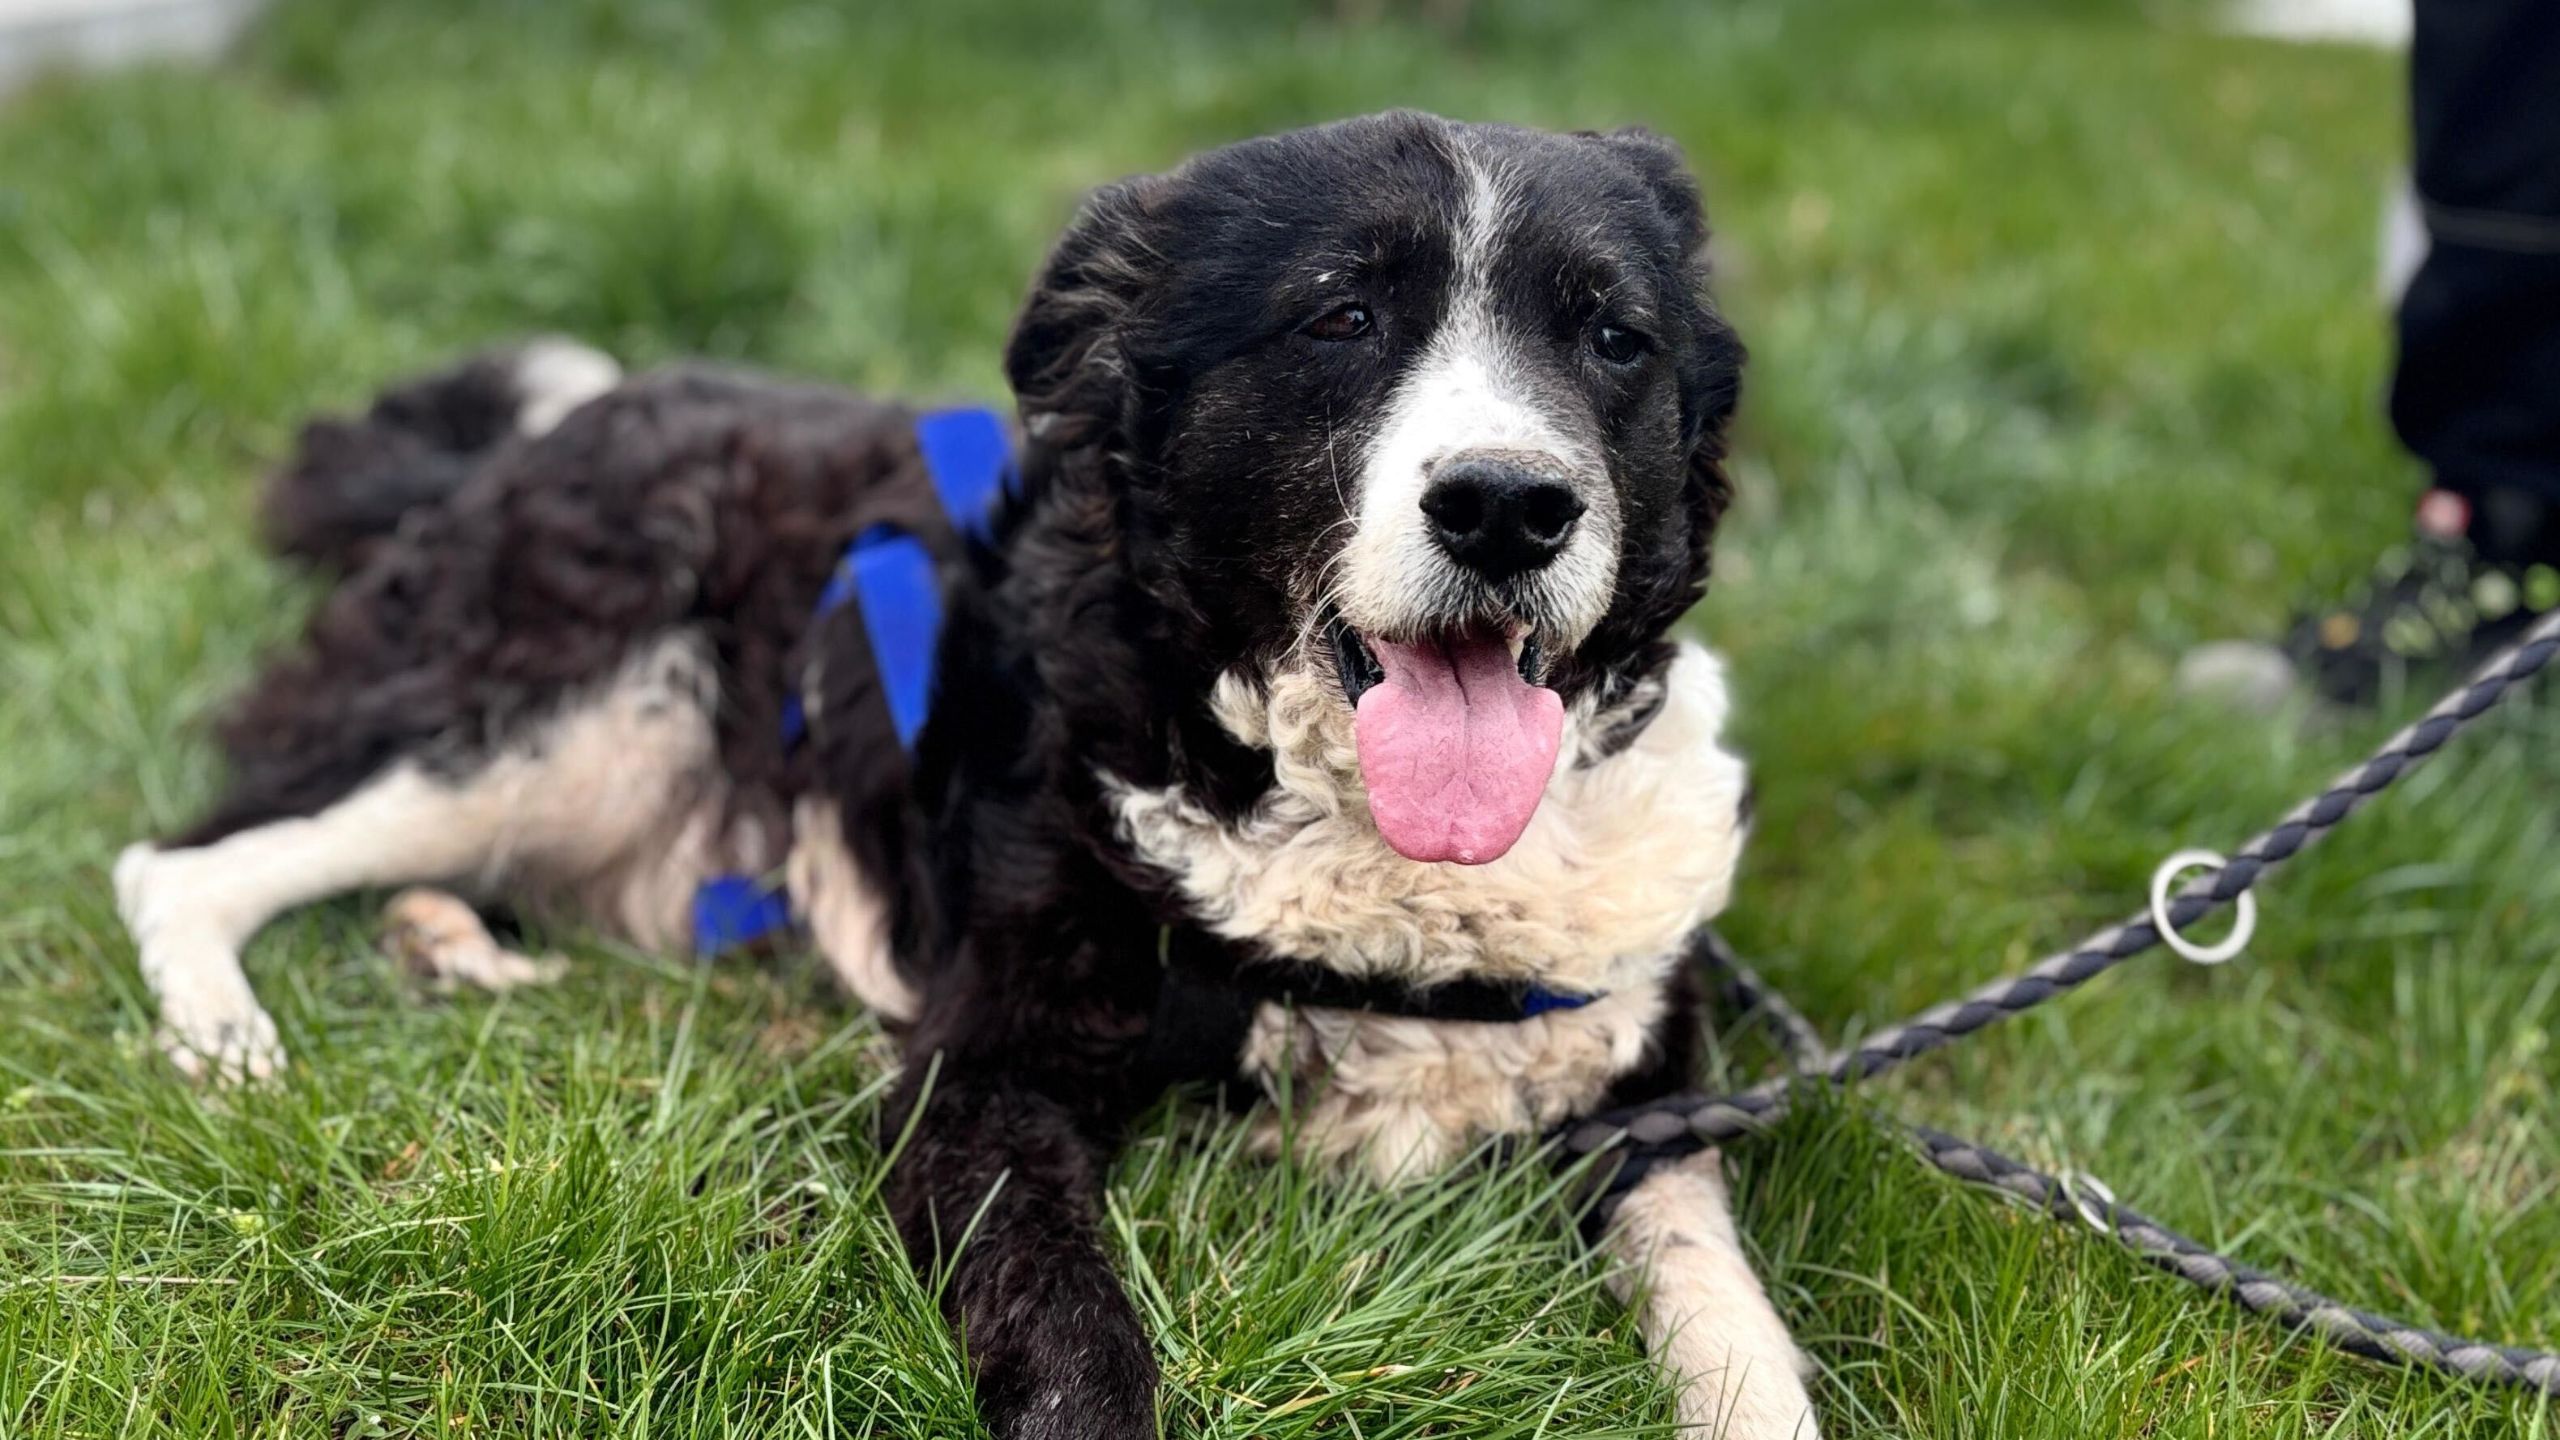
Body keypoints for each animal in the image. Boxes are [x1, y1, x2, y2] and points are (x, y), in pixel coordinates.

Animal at [114, 111, 1817, 1438]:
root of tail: (554, 428)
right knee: (187, 864)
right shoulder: (978, 1085)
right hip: (580, 708)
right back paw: (235, 1047)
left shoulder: (1648, 1093)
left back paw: (455, 951)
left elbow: (1730, 1313)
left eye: (1612, 337)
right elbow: (1078, 1351)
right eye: (1341, 320)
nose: (1508, 507)